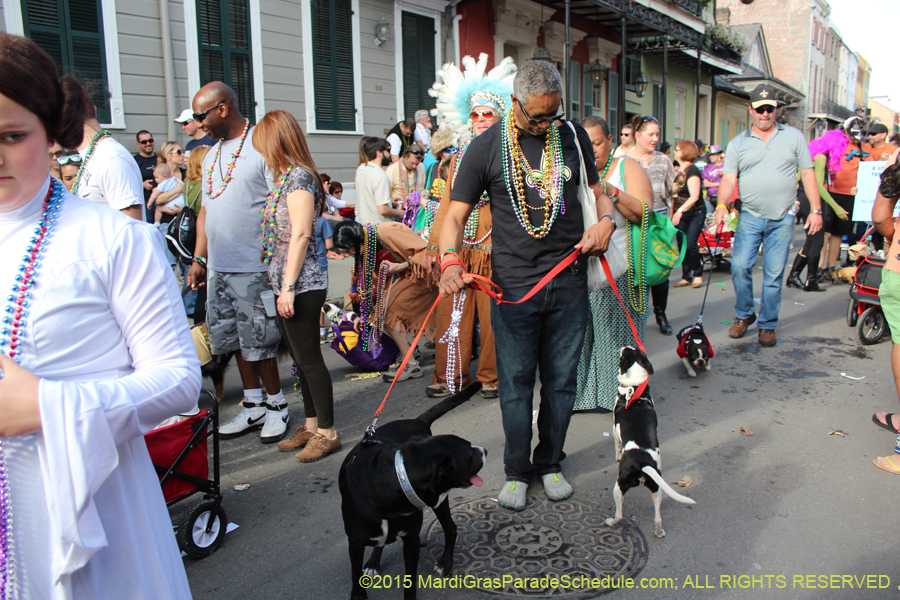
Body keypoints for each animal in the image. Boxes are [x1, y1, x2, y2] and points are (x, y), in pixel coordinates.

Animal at [338, 382, 486, 596]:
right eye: (469, 456)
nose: (485, 451)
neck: (396, 477)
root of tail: (418, 421)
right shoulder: (355, 544)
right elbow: (356, 580)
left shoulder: (412, 539)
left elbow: (410, 580)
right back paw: (374, 561)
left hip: (440, 501)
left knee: (451, 528)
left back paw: (445, 563)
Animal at [604, 346, 696, 540]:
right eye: (635, 350)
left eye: (625, 354)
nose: (624, 346)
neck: (635, 389)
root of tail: (643, 463)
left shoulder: (615, 428)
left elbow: (617, 446)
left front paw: (617, 456)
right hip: (657, 488)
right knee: (658, 517)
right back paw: (659, 532)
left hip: (619, 485)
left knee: (620, 514)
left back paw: (611, 521)